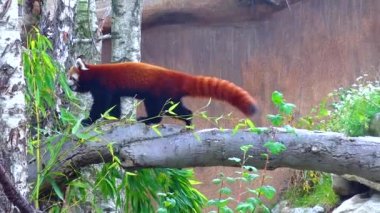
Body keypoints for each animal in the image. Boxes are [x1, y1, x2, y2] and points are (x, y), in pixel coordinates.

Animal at [67, 57, 258, 125]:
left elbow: (101, 104)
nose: (68, 85)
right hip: (172, 97)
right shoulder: (113, 91)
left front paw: (88, 120)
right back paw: (188, 121)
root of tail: (178, 76)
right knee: (180, 109)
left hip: (158, 93)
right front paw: (112, 118)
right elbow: (114, 104)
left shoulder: (103, 86)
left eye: (70, 77)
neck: (92, 73)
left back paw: (150, 120)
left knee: (157, 108)